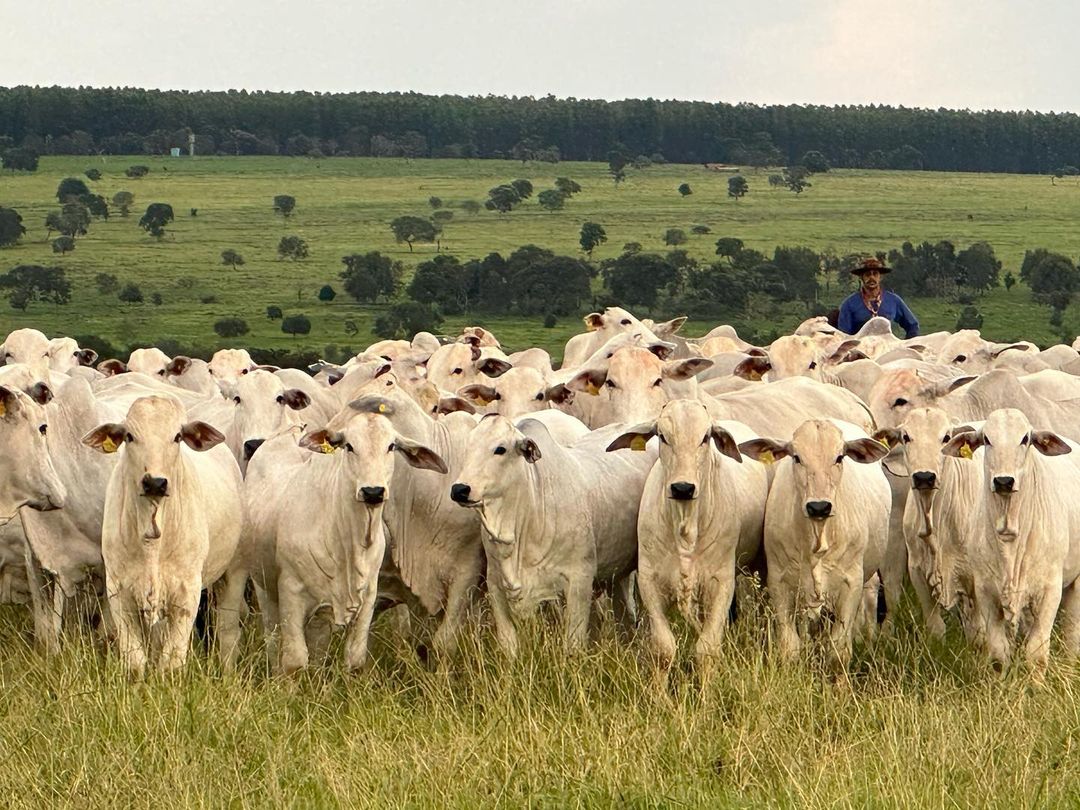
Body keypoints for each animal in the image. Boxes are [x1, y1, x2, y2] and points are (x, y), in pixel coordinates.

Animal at [84, 397, 245, 673]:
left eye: (177, 436)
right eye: (129, 436)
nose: (155, 483)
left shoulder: (187, 591)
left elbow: (171, 660)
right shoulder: (119, 590)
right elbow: (136, 660)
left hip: (233, 571)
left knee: (227, 630)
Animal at [449, 414, 652, 656]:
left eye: (500, 449)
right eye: (469, 445)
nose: (460, 489)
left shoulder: (579, 580)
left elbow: (573, 644)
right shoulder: (496, 583)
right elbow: (508, 645)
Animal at [609, 403, 768, 673]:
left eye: (705, 437)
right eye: (663, 436)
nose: (682, 488)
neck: (685, 529)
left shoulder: (722, 583)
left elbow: (707, 649)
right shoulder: (649, 582)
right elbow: (663, 649)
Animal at [734, 419, 894, 673]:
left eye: (839, 457)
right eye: (797, 457)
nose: (819, 506)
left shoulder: (851, 583)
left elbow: (839, 651)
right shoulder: (779, 582)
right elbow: (790, 647)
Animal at [941, 412, 1080, 673]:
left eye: (1025, 438)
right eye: (986, 439)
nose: (1004, 481)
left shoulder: (1050, 590)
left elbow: (1036, 653)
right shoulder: (985, 591)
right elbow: (998, 654)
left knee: (1072, 633)